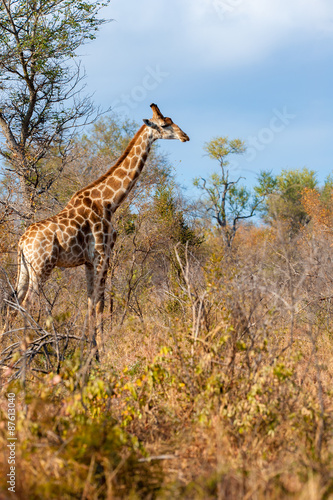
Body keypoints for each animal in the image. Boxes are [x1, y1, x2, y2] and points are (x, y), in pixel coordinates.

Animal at [3, 103, 189, 358]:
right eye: (164, 124)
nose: (185, 136)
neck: (110, 201)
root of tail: (22, 241)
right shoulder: (103, 255)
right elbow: (100, 302)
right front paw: (101, 351)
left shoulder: (89, 262)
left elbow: (90, 301)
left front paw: (90, 349)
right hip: (42, 266)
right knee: (26, 304)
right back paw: (24, 349)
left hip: (24, 268)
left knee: (12, 302)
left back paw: (7, 345)